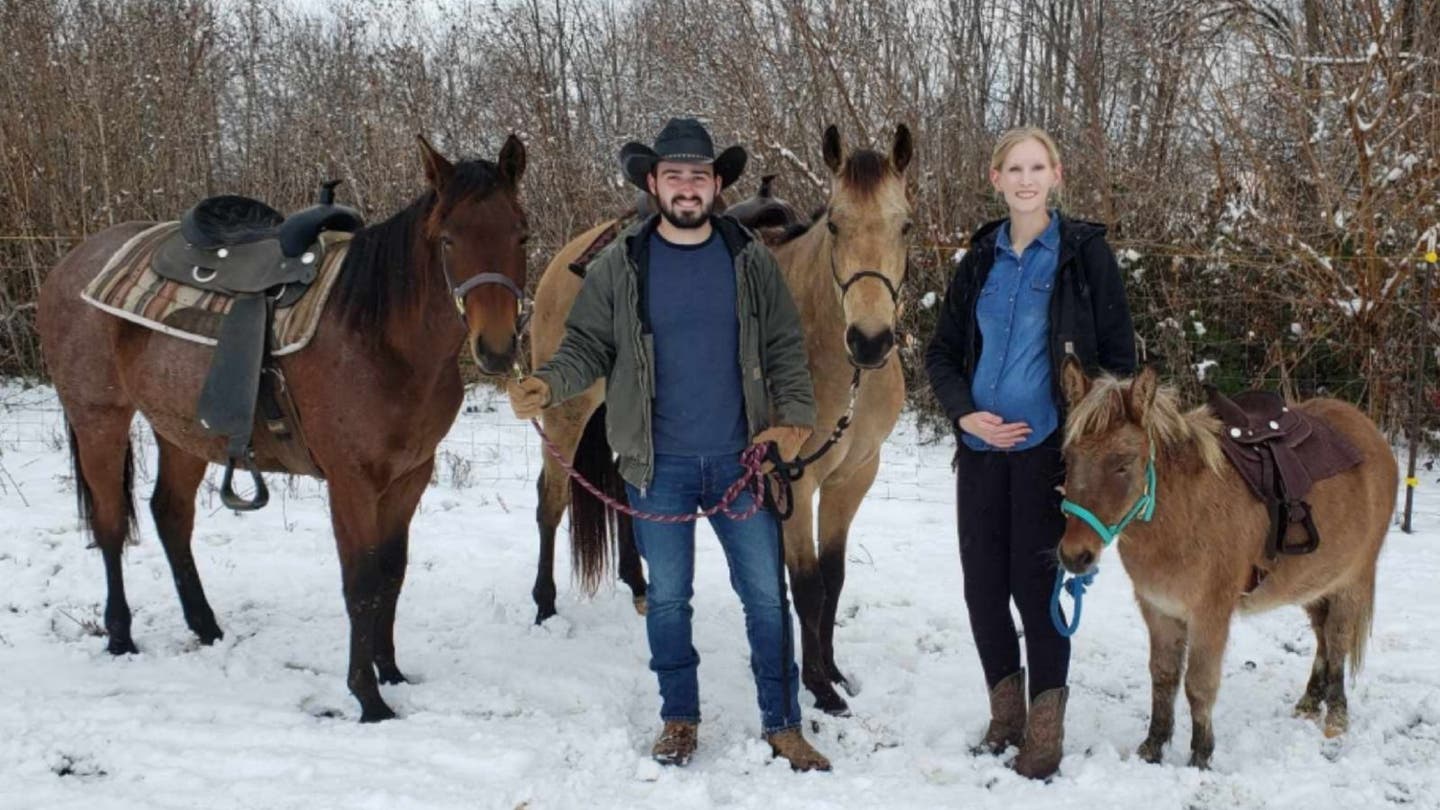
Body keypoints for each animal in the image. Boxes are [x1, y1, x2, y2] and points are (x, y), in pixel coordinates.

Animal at [40, 134, 535, 717]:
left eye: (521, 234)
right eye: (449, 239)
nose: (497, 348)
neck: (380, 338)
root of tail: (75, 260)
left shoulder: (409, 476)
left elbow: (391, 575)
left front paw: (390, 672)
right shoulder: (352, 482)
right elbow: (360, 583)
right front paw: (368, 697)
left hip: (182, 430)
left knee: (171, 516)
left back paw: (206, 628)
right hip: (98, 417)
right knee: (112, 524)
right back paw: (120, 637)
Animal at [1054, 363, 1388, 766]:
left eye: (1123, 463)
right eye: (1069, 457)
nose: (1075, 555)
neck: (1183, 510)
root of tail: (1367, 428)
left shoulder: (1209, 613)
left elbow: (1198, 684)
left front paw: (1201, 755)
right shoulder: (1159, 609)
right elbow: (1163, 676)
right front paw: (1153, 746)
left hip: (1351, 581)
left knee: (1338, 640)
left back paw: (1336, 714)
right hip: (1313, 583)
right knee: (1323, 635)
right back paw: (1310, 701)